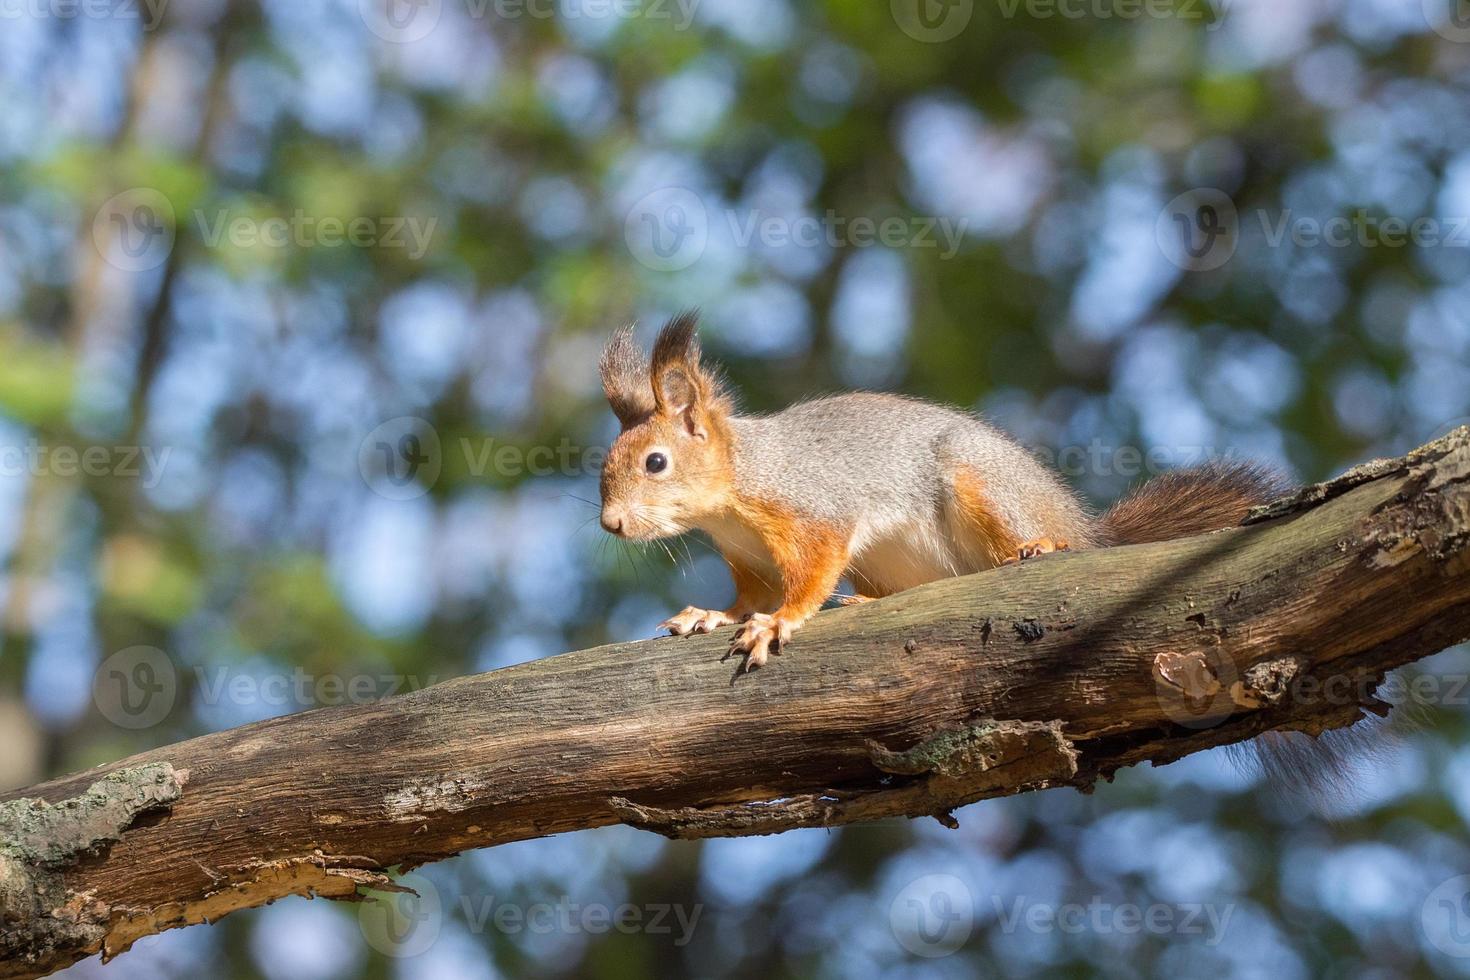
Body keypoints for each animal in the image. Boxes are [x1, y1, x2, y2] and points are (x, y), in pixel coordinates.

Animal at [596, 310, 1287, 669]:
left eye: (655, 462)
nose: (611, 525)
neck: (737, 489)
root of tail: (1083, 525)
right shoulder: (750, 559)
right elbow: (748, 598)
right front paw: (712, 615)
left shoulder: (815, 510)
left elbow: (810, 575)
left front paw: (779, 622)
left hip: (979, 482)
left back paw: (1042, 548)